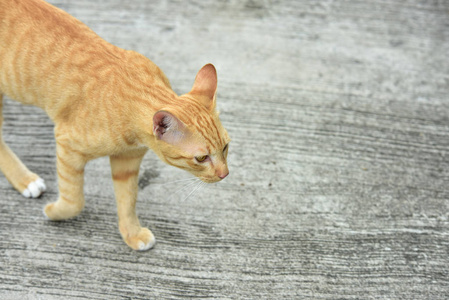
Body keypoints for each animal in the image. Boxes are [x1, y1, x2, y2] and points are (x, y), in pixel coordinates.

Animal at [0, 0, 229, 251]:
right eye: (201, 158)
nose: (225, 174)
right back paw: (25, 180)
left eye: (226, 148)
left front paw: (131, 233)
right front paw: (54, 212)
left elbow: (127, 200)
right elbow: (75, 200)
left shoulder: (127, 162)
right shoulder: (67, 147)